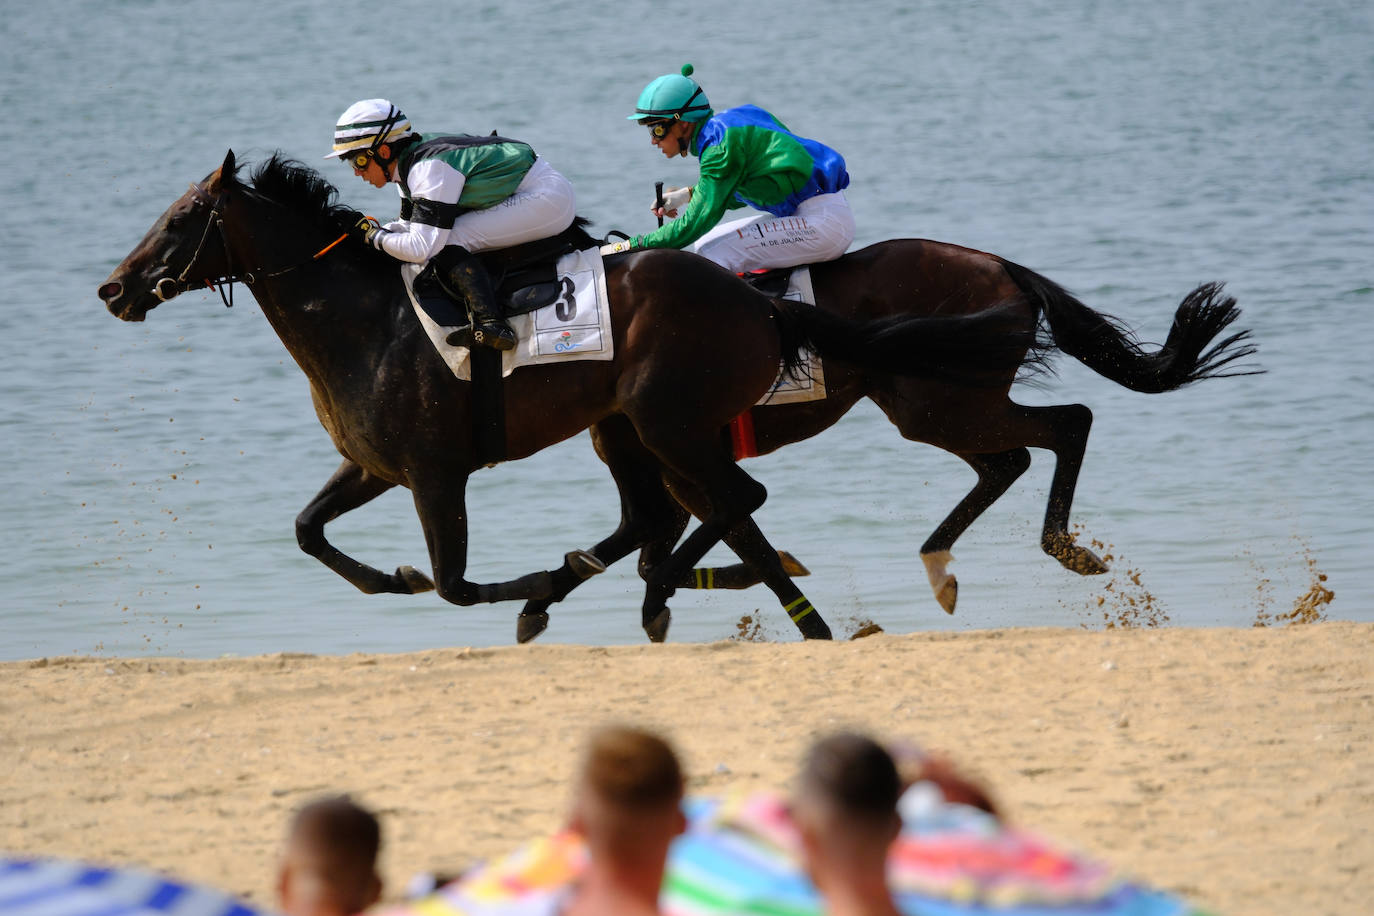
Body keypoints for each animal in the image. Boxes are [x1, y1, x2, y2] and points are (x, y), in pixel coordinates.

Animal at [99, 153, 1038, 642]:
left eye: (180, 218)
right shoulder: (372, 464)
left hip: (674, 419)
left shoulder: (436, 473)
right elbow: (308, 533)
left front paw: (532, 587)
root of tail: (759, 303)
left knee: (729, 501)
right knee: (684, 513)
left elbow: (456, 584)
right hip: (634, 427)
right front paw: (395, 576)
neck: (365, 323)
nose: (115, 288)